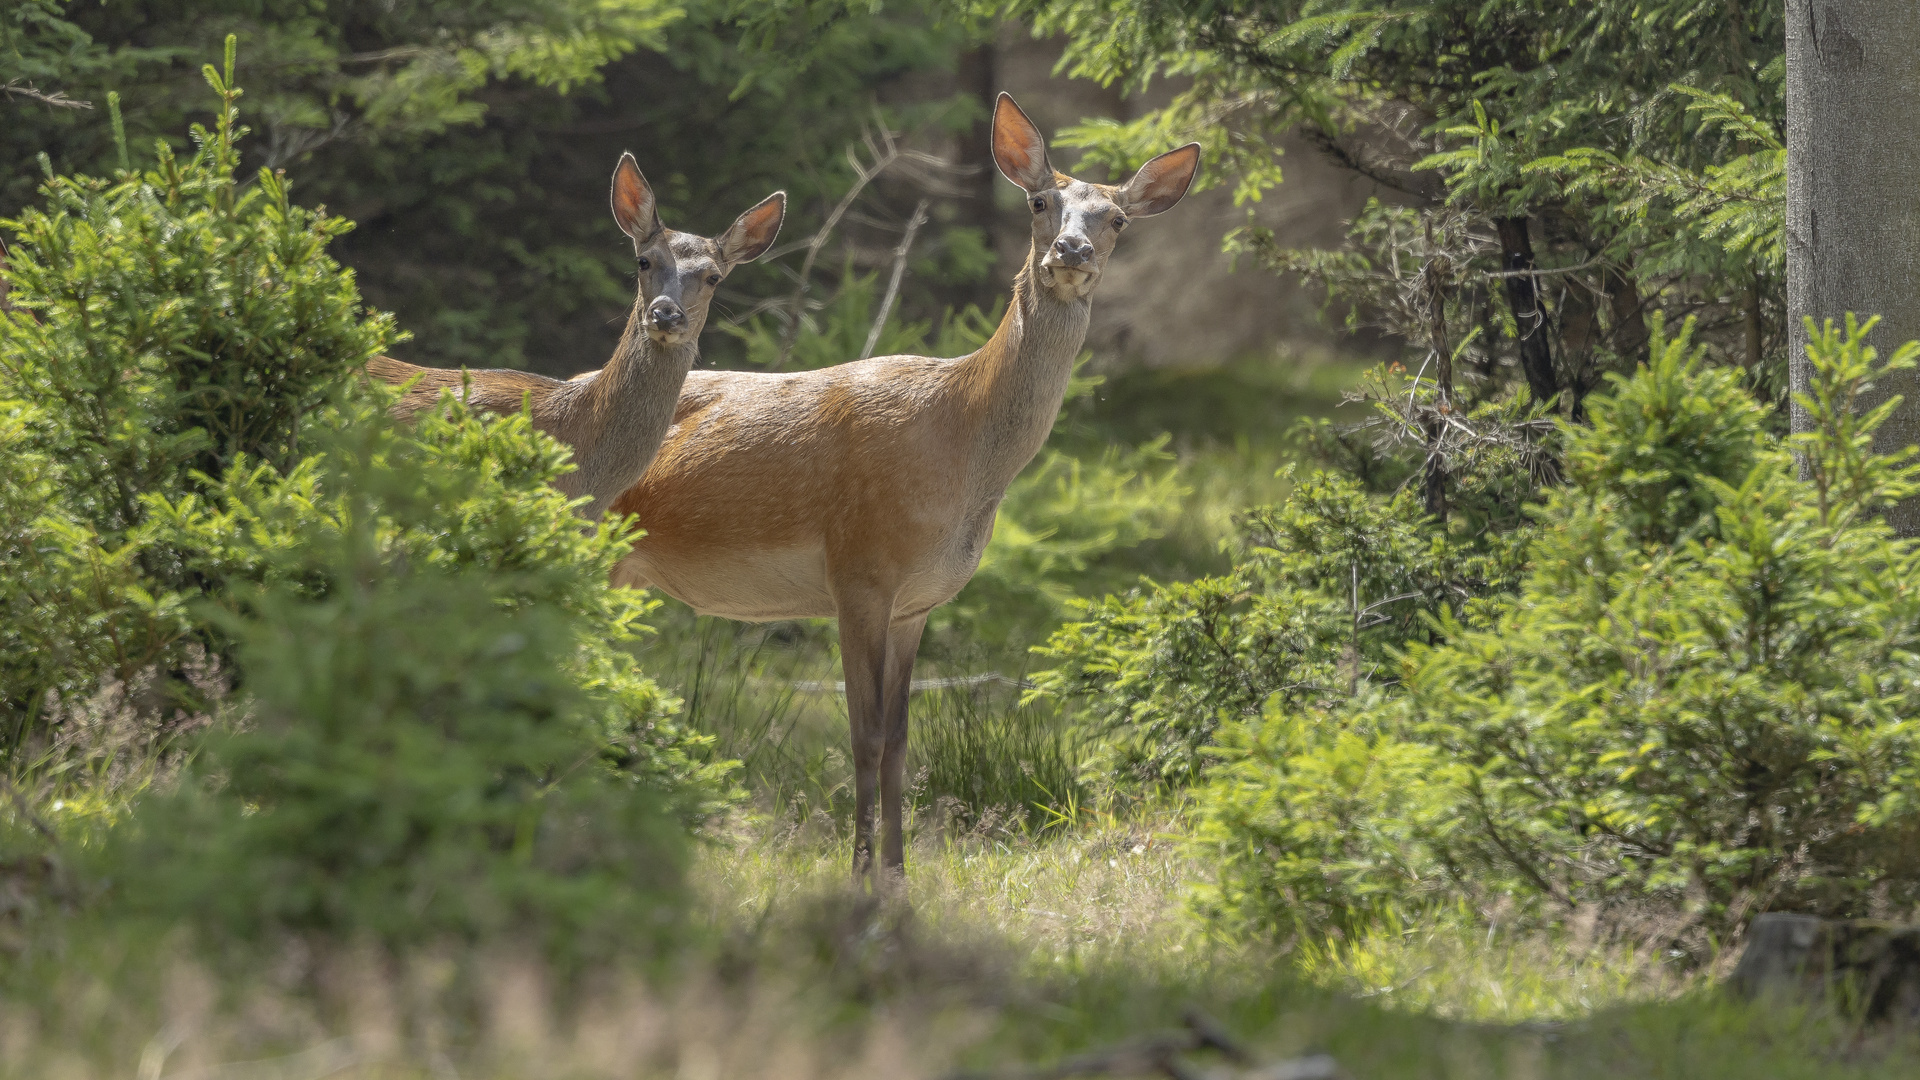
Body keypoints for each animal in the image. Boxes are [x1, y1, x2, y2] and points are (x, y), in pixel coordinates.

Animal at [599, 96, 1198, 880]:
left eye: (1118, 218)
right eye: (1040, 202)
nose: (1071, 252)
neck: (962, 446)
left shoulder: (919, 600)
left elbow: (902, 741)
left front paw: (898, 874)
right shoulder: (859, 568)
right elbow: (865, 735)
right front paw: (860, 878)